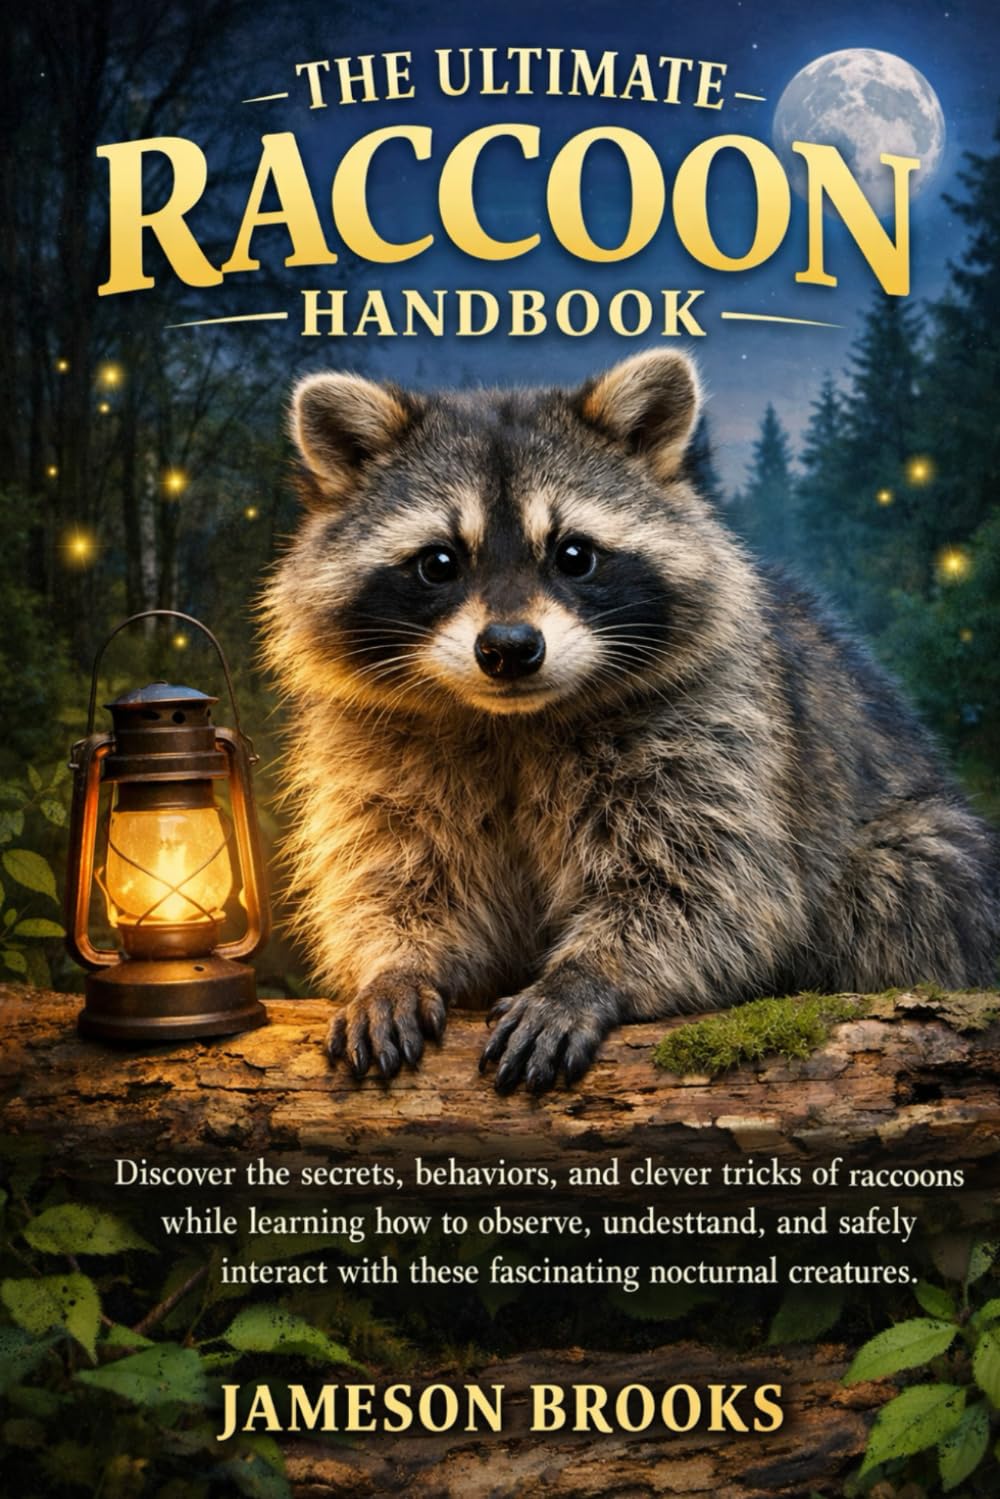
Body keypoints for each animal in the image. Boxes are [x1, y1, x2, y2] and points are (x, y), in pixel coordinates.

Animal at [262, 350, 999, 1092]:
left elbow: (708, 885)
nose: (509, 648)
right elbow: (391, 871)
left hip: (926, 859)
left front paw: (587, 974)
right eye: (439, 562)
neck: (512, 719)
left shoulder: (717, 725)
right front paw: (395, 964)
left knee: (900, 887)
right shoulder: (373, 745)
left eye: (574, 554)